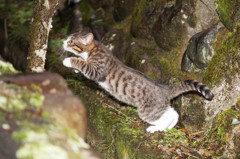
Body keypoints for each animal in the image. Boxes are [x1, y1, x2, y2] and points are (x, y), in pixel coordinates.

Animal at [62, 31, 214, 133]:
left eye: (71, 41)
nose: (63, 42)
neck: (93, 50)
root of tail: (166, 89)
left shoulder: (97, 70)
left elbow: (81, 63)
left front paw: (68, 61)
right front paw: (75, 69)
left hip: (147, 111)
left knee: (165, 117)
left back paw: (156, 128)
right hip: (159, 108)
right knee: (173, 114)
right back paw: (168, 127)